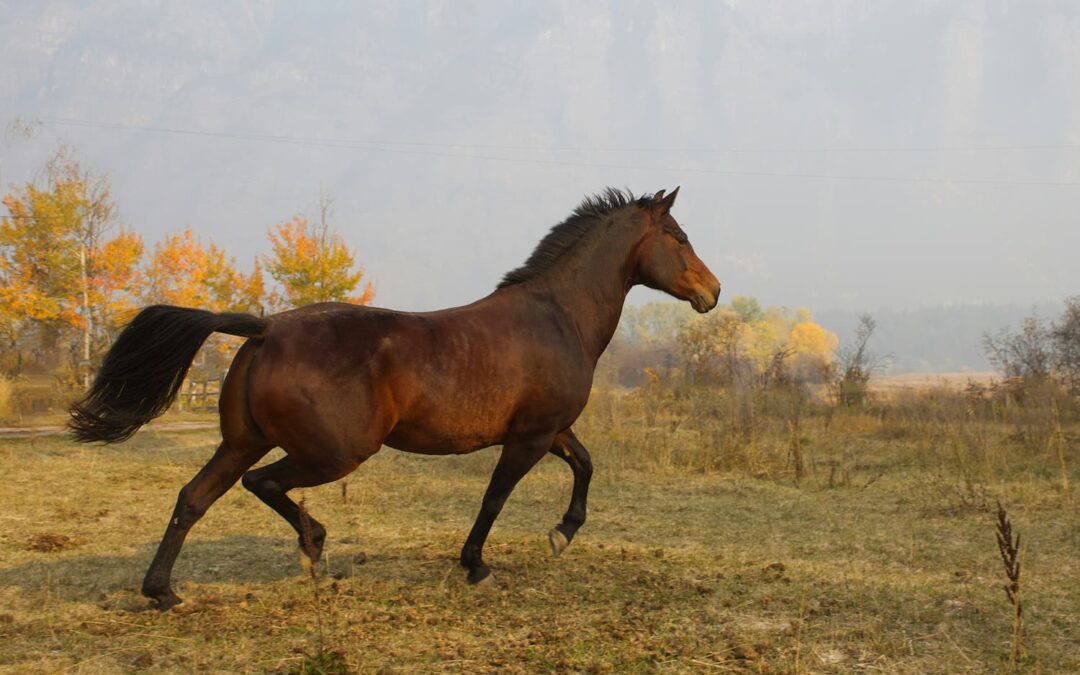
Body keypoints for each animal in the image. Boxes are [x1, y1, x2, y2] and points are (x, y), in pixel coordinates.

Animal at [71, 186, 721, 609]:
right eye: (679, 237)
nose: (713, 292)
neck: (557, 316)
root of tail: (266, 329)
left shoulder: (551, 430)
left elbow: (585, 466)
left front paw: (562, 533)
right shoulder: (530, 437)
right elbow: (495, 497)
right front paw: (477, 565)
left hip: (240, 442)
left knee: (193, 498)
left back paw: (164, 592)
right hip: (333, 453)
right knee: (264, 485)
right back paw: (314, 547)